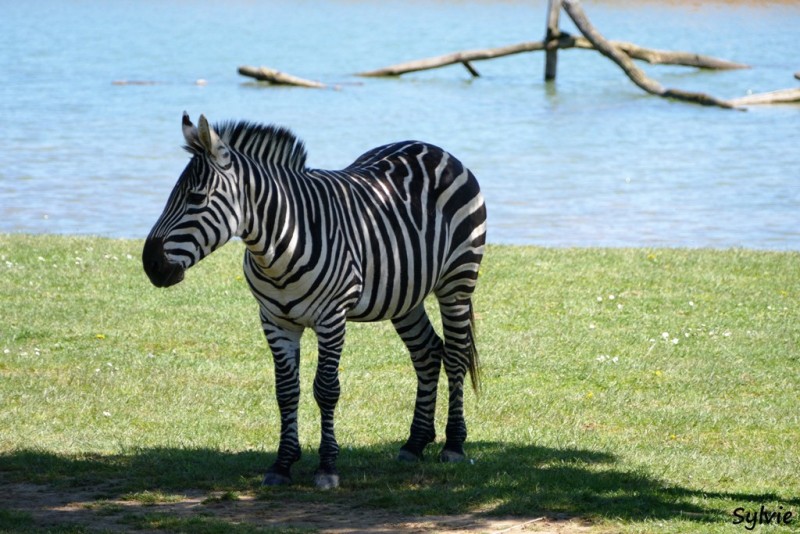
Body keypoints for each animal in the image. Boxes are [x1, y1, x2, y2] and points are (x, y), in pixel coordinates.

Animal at [144, 113, 488, 490]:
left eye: (196, 197)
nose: (150, 264)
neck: (280, 241)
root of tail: (432, 148)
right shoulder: (274, 320)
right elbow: (285, 391)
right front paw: (282, 464)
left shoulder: (331, 318)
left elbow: (326, 389)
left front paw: (326, 467)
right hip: (405, 294)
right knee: (427, 353)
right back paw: (415, 443)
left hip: (457, 282)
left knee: (455, 355)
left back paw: (453, 444)